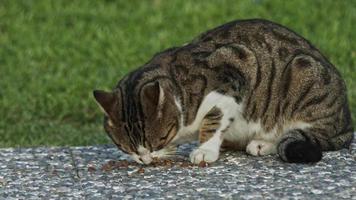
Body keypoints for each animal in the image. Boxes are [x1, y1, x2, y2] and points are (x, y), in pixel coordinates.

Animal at [94, 19, 354, 165]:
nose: (144, 159)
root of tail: (346, 125)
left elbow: (214, 119)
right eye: (125, 146)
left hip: (303, 73)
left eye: (159, 139)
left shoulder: (236, 72)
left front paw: (204, 150)